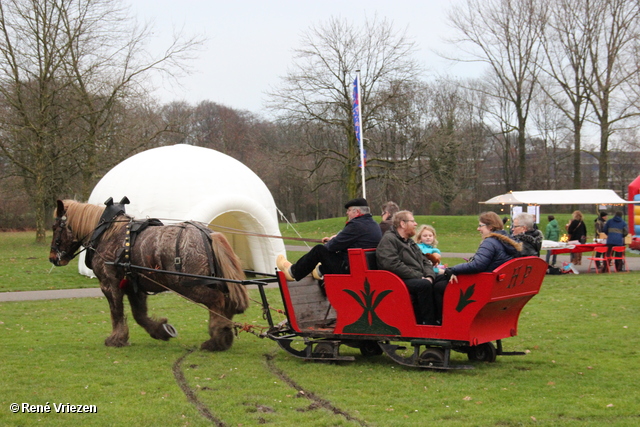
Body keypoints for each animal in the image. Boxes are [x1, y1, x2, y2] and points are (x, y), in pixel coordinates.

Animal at [49, 200, 250, 352]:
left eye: (55, 227)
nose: (52, 257)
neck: (106, 233)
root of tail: (208, 234)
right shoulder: (134, 286)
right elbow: (139, 315)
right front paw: (161, 330)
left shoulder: (109, 284)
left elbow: (116, 312)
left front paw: (116, 338)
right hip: (213, 282)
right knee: (227, 303)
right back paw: (224, 336)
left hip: (190, 286)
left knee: (218, 302)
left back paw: (216, 339)